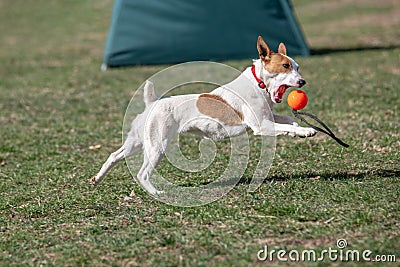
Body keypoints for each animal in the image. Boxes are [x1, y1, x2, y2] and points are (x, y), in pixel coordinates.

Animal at [92, 36, 318, 195]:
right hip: (157, 146)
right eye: (285, 66)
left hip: (137, 142)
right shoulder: (261, 125)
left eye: (297, 67)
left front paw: (298, 129)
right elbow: (284, 126)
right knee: (142, 173)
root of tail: (152, 103)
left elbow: (288, 121)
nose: (303, 82)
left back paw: (97, 178)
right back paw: (156, 192)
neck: (258, 83)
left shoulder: (268, 118)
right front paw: (306, 131)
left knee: (114, 156)